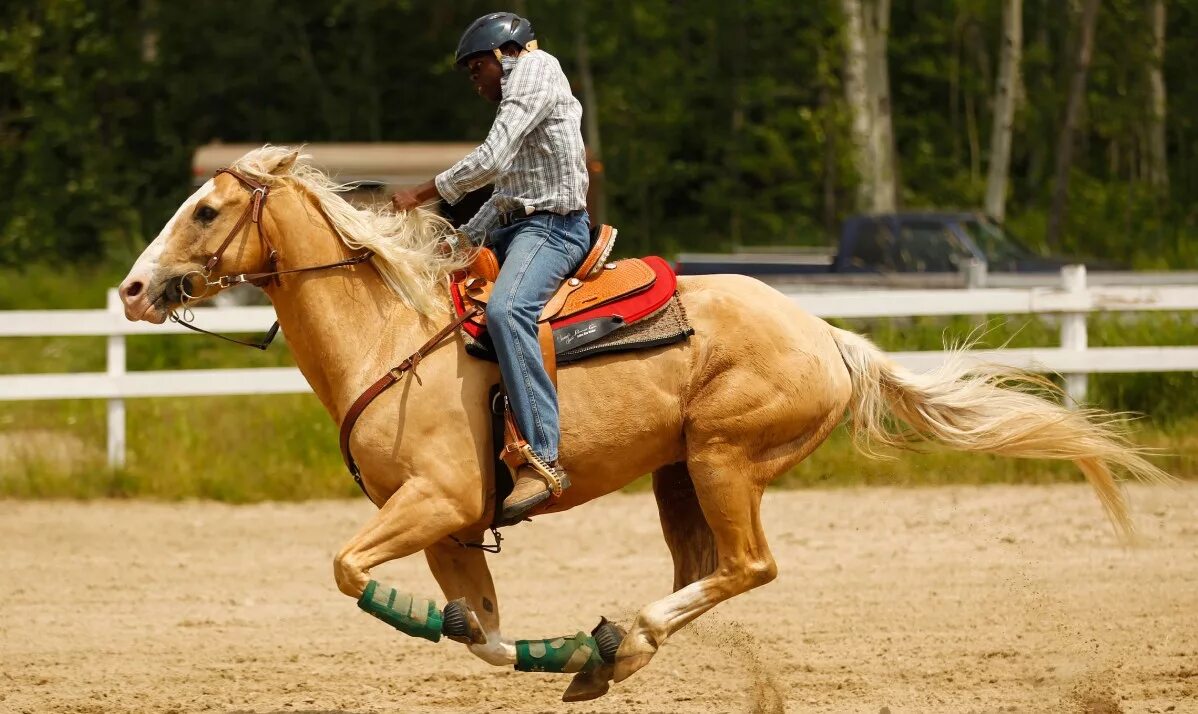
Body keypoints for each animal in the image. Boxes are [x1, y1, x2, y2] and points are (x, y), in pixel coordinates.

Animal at [119, 146, 1169, 704]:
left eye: (205, 208)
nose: (132, 288)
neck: (393, 338)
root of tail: (828, 336)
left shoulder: (437, 502)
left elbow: (347, 569)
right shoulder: (453, 529)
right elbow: (478, 627)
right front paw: (546, 651)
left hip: (724, 457)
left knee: (747, 567)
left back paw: (625, 636)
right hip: (679, 477)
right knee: (705, 571)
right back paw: (609, 650)